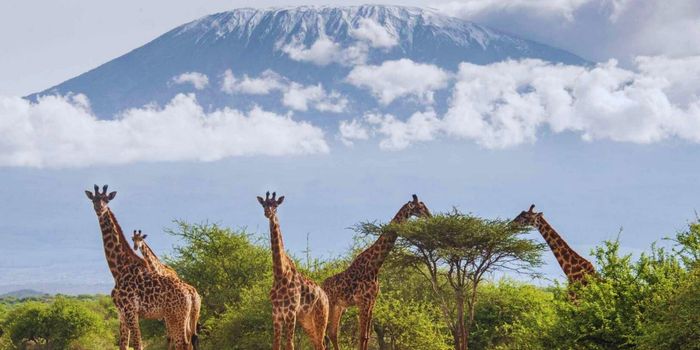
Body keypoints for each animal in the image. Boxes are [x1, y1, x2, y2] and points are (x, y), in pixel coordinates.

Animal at [85, 185, 194, 348]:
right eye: (94, 199)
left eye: (106, 200)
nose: (99, 209)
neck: (118, 269)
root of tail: (190, 293)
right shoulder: (121, 313)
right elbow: (123, 345)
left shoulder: (131, 311)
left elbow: (138, 344)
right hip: (179, 317)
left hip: (176, 316)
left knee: (183, 343)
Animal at [258, 191, 330, 350]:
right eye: (264, 204)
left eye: (276, 205)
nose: (267, 213)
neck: (280, 273)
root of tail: (326, 297)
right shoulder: (276, 313)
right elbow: (276, 344)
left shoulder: (290, 312)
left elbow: (290, 344)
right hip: (307, 321)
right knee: (318, 344)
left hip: (321, 316)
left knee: (321, 344)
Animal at [324, 194, 432, 350]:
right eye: (420, 207)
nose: (430, 216)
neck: (375, 266)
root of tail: (321, 285)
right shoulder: (363, 301)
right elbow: (362, 336)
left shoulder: (372, 302)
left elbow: (366, 336)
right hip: (330, 304)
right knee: (325, 333)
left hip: (339, 307)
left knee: (332, 332)